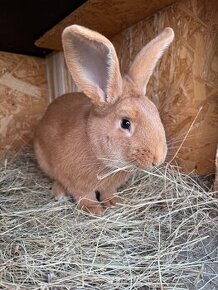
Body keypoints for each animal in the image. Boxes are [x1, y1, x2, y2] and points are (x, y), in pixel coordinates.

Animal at [33, 24, 174, 215]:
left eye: (155, 112)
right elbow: (84, 196)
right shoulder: (77, 183)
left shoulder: (109, 186)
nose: (158, 158)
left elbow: (108, 192)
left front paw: (114, 203)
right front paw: (94, 210)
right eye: (125, 123)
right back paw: (58, 193)